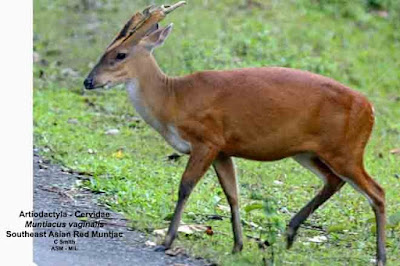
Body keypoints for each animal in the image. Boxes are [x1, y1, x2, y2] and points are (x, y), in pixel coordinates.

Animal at [83, 1, 386, 264]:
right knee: (334, 181)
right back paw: (288, 234)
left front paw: (166, 241)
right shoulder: (223, 149)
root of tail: (370, 109)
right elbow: (233, 194)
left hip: (346, 149)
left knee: (378, 192)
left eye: (120, 54)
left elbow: (185, 186)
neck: (173, 100)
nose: (89, 81)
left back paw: (380, 257)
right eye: (105, 50)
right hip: (309, 152)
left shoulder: (207, 140)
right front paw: (238, 246)